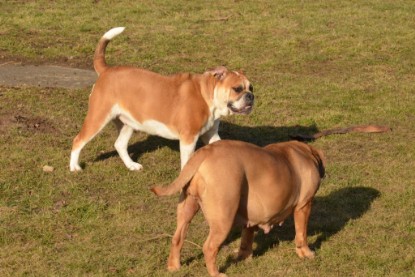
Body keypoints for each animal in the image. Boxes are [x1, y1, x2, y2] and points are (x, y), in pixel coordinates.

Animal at [70, 28, 255, 170]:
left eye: (251, 88)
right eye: (237, 89)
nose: (251, 96)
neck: (206, 94)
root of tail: (107, 70)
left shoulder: (211, 135)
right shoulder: (188, 138)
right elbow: (186, 162)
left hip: (128, 122)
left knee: (120, 144)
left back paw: (132, 165)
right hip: (98, 117)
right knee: (78, 140)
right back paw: (74, 168)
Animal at [151, 140, 326, 276]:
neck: (304, 152)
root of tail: (205, 152)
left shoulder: (251, 216)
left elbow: (246, 238)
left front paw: (244, 257)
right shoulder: (304, 205)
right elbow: (301, 234)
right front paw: (306, 253)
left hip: (187, 207)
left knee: (177, 237)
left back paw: (174, 266)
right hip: (223, 218)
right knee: (209, 247)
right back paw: (216, 273)